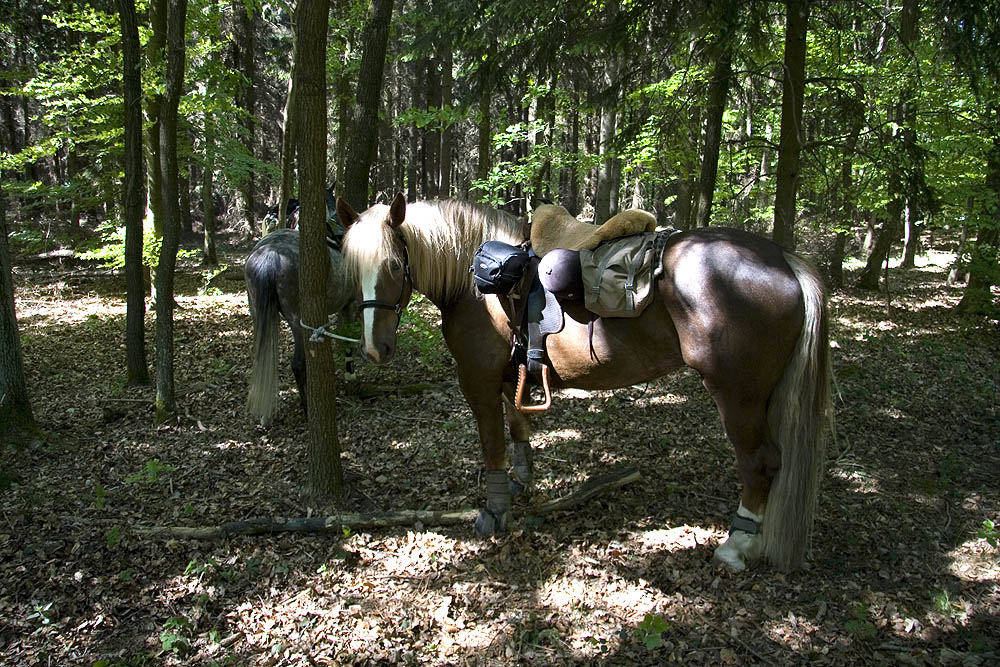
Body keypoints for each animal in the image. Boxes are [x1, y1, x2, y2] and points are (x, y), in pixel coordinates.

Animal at [336, 194, 828, 576]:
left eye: (394, 265)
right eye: (351, 269)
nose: (375, 348)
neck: (475, 281)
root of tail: (783, 260)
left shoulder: (476, 378)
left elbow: (492, 443)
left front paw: (494, 511)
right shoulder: (509, 374)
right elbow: (518, 428)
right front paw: (521, 482)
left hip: (738, 395)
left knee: (761, 462)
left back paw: (737, 545)